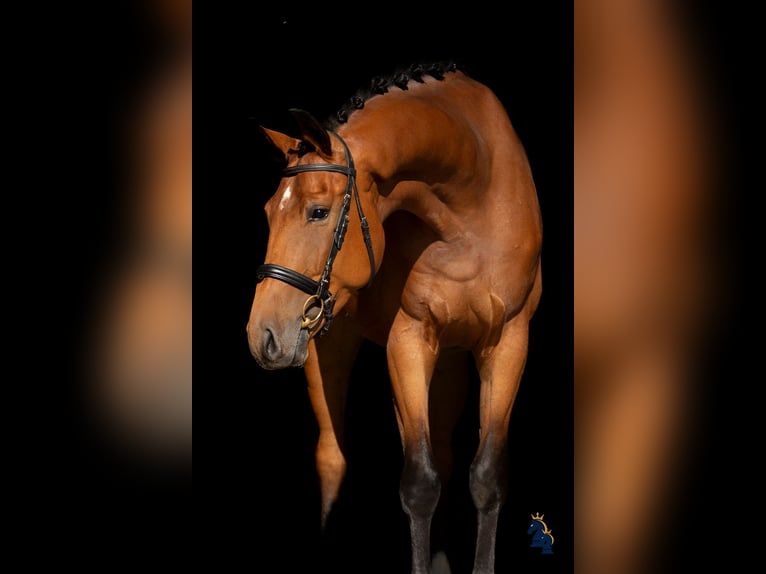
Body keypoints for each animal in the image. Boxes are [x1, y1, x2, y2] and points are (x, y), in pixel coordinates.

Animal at [247, 61, 543, 574]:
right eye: (268, 213)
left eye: (318, 211)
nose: (259, 333)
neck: (473, 202)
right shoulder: (408, 340)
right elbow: (420, 483)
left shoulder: (508, 341)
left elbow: (486, 475)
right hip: (325, 345)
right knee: (332, 458)